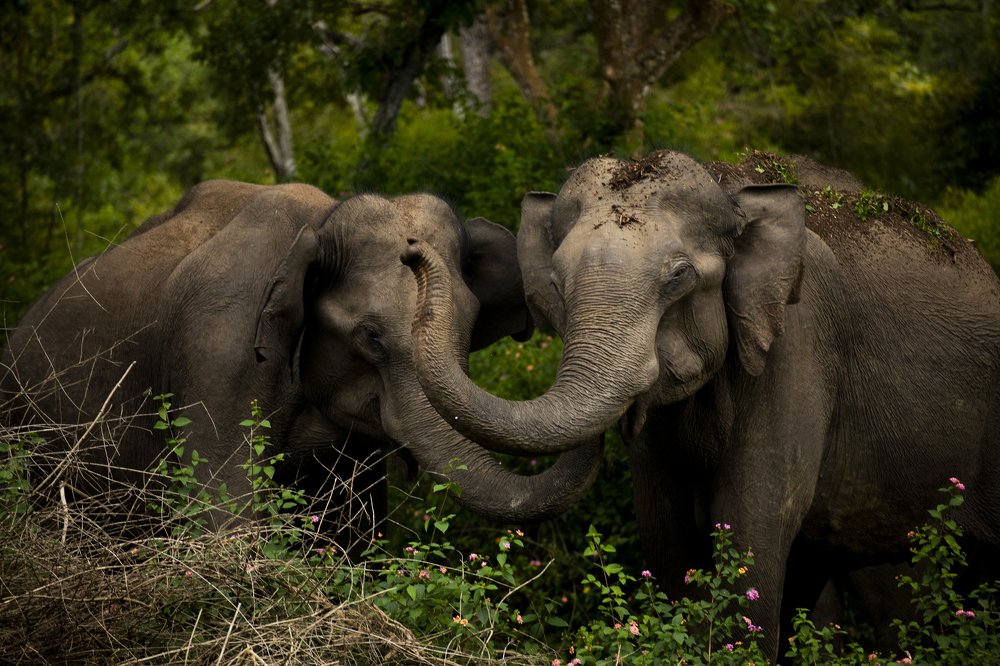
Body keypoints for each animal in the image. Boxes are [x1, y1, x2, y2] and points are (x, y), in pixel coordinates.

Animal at [0, 180, 600, 551]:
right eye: (371, 337)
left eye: (471, 330)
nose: (413, 251)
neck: (319, 220)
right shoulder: (218, 348)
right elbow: (221, 519)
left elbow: (347, 535)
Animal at [401, 149, 1000, 661]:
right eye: (554, 281)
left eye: (679, 276)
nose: (412, 250)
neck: (732, 191)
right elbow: (667, 539)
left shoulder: (798, 348)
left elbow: (752, 527)